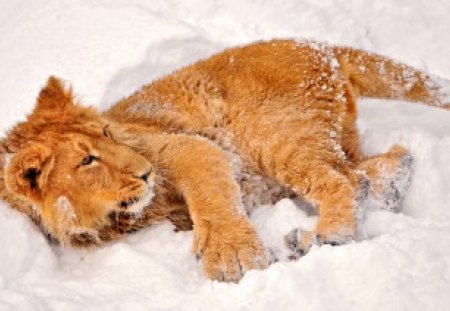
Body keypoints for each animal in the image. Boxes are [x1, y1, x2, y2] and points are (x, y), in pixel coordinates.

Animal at [0, 39, 450, 282]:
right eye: (87, 161)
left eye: (107, 134)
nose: (145, 172)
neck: (111, 218)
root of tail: (319, 47)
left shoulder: (183, 146)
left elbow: (210, 194)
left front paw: (234, 257)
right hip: (331, 137)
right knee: (383, 164)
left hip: (272, 135)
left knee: (346, 181)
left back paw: (326, 238)